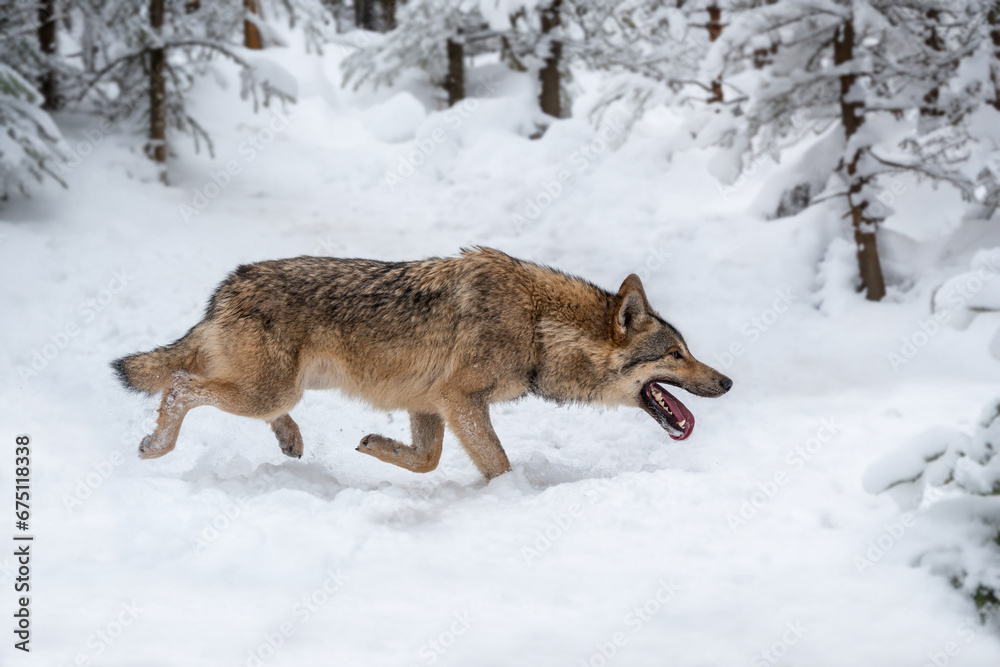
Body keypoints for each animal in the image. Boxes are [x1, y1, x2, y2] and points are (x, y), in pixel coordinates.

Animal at [112, 247, 732, 480]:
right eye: (676, 354)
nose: (727, 381)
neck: (537, 325)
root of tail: (224, 289)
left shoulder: (429, 403)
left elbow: (426, 460)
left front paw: (374, 446)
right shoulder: (460, 400)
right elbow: (498, 464)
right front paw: (511, 498)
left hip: (275, 391)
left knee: (213, 392)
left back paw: (291, 442)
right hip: (268, 390)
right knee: (180, 383)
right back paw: (156, 447)